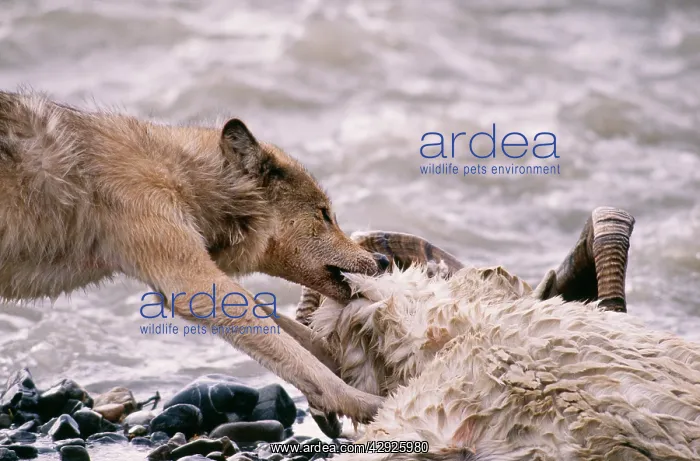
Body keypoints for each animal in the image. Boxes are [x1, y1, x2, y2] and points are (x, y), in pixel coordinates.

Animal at [0, 90, 387, 423]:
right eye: (324, 214)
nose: (383, 261)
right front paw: (364, 402)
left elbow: (293, 334)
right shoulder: (191, 285)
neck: (184, 177)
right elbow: (290, 348)